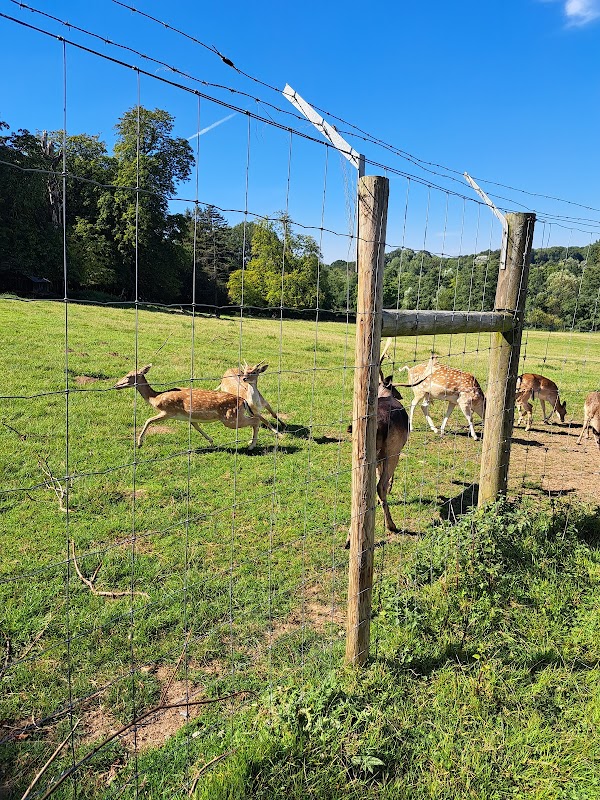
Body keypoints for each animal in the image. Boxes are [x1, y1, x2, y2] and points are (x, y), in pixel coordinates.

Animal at [113, 364, 274, 450]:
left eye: (128, 376)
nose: (116, 385)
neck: (155, 398)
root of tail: (243, 401)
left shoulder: (168, 411)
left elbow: (148, 420)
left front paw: (139, 443)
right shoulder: (191, 417)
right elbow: (196, 426)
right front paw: (211, 441)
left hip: (230, 418)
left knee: (255, 421)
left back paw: (251, 445)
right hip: (236, 416)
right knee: (255, 420)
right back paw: (251, 442)